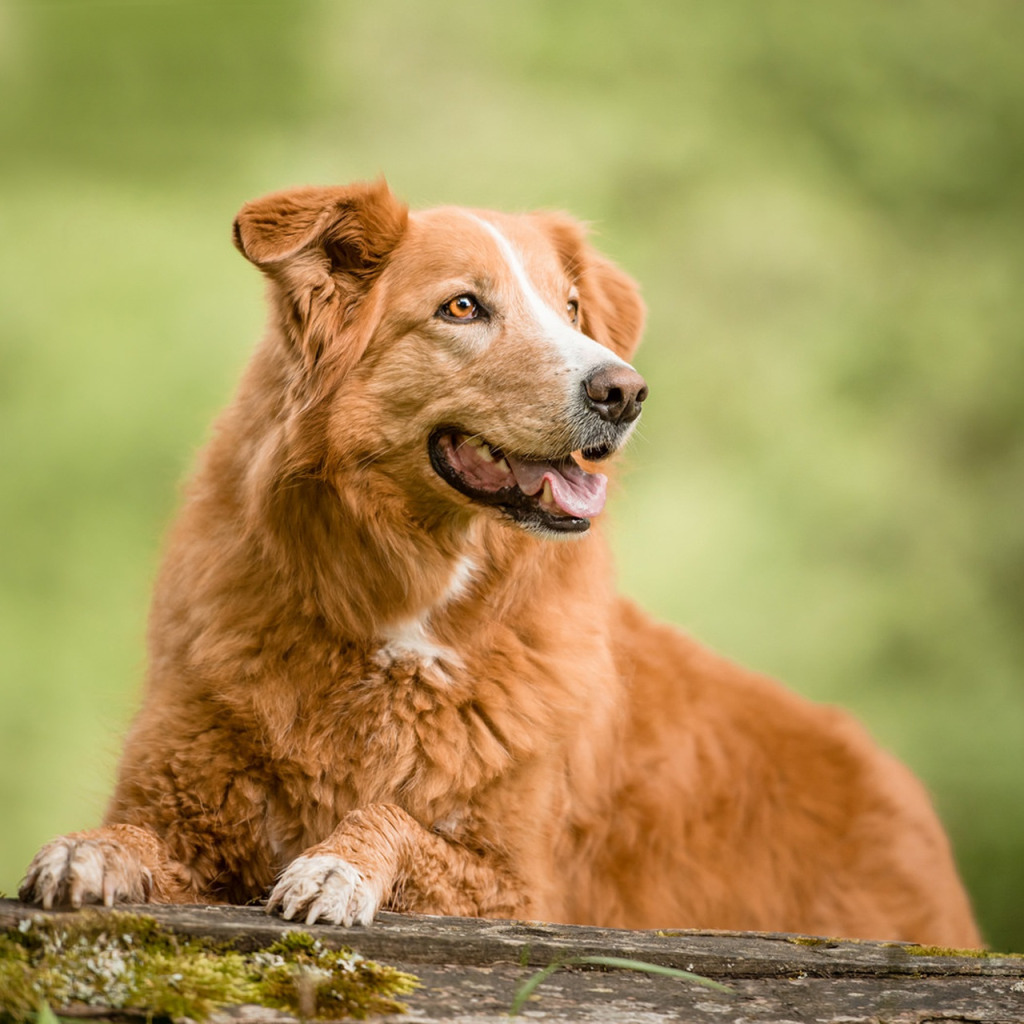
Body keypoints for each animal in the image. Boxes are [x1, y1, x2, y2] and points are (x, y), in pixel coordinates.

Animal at [22, 178, 983, 942]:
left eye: (571, 309)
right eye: (462, 308)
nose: (625, 391)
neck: (406, 607)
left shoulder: (520, 887)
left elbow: (399, 820)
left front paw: (340, 864)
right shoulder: (187, 811)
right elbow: (137, 834)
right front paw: (91, 852)